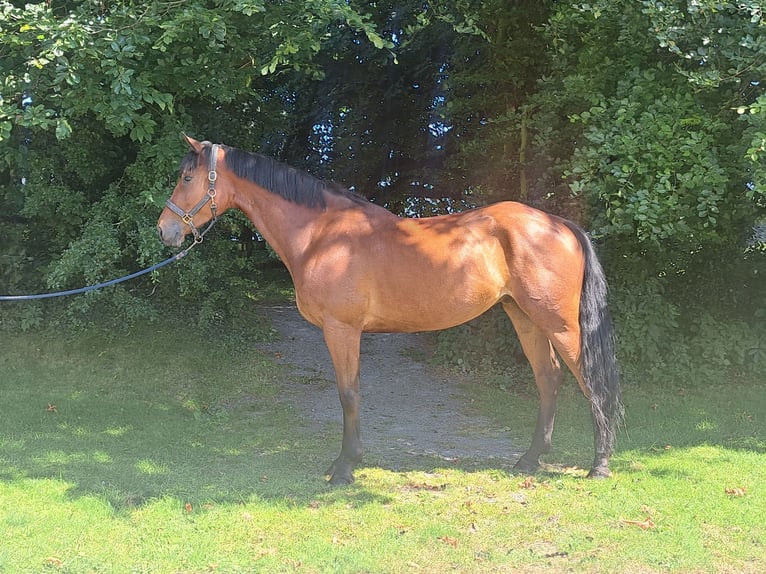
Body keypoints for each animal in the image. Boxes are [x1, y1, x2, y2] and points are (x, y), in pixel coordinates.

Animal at [157, 135, 623, 484]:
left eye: (186, 177)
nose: (165, 230)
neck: (321, 234)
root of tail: (562, 225)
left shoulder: (341, 329)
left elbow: (348, 393)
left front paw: (344, 469)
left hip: (560, 324)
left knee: (590, 381)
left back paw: (599, 466)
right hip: (523, 317)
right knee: (549, 380)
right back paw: (529, 460)